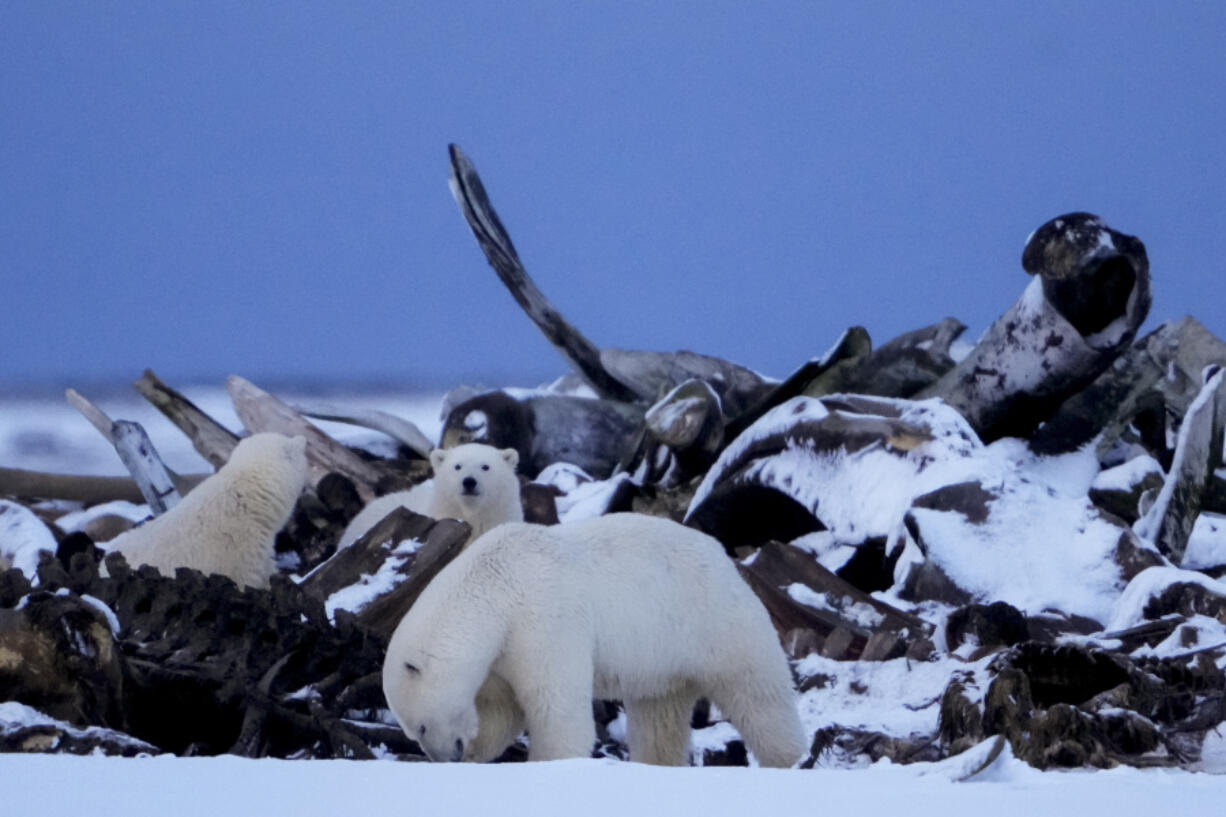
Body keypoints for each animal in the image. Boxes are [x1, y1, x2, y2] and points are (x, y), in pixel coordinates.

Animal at [382, 510, 804, 765]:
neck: (495, 584)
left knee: (759, 695)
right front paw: (477, 751)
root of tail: (724, 558)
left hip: (715, 623)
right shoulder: (502, 654)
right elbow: (503, 710)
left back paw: (787, 759)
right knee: (659, 717)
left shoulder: (543, 618)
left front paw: (551, 763)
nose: (446, 757)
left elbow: (555, 705)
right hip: (660, 661)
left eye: (420, 726)